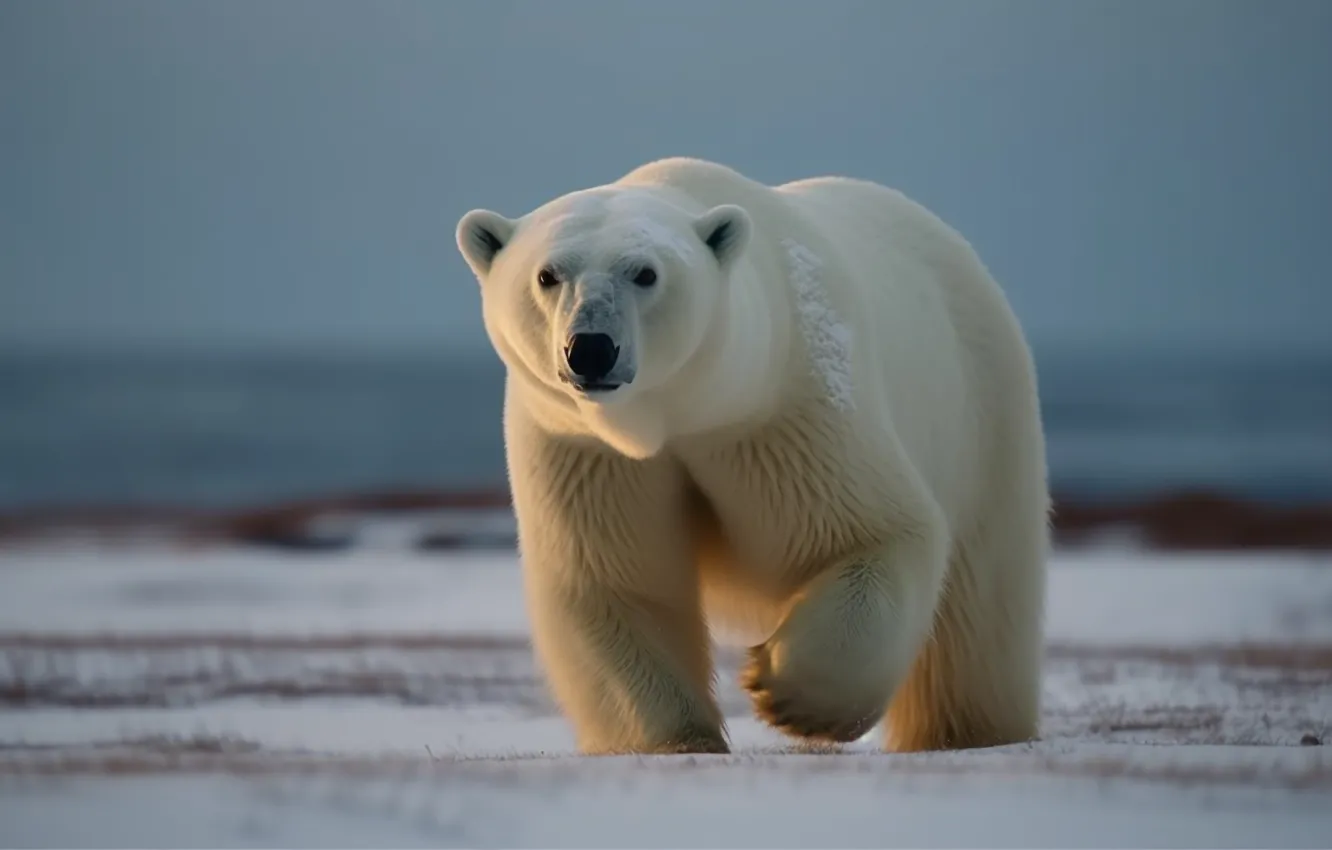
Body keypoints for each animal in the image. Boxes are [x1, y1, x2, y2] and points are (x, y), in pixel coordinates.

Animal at [454, 157, 1049, 756]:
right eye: (547, 275)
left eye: (645, 273)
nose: (592, 348)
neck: (680, 413)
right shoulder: (586, 450)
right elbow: (617, 582)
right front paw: (678, 739)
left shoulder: (783, 411)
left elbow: (870, 531)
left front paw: (786, 694)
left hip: (984, 418)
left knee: (979, 607)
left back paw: (966, 730)